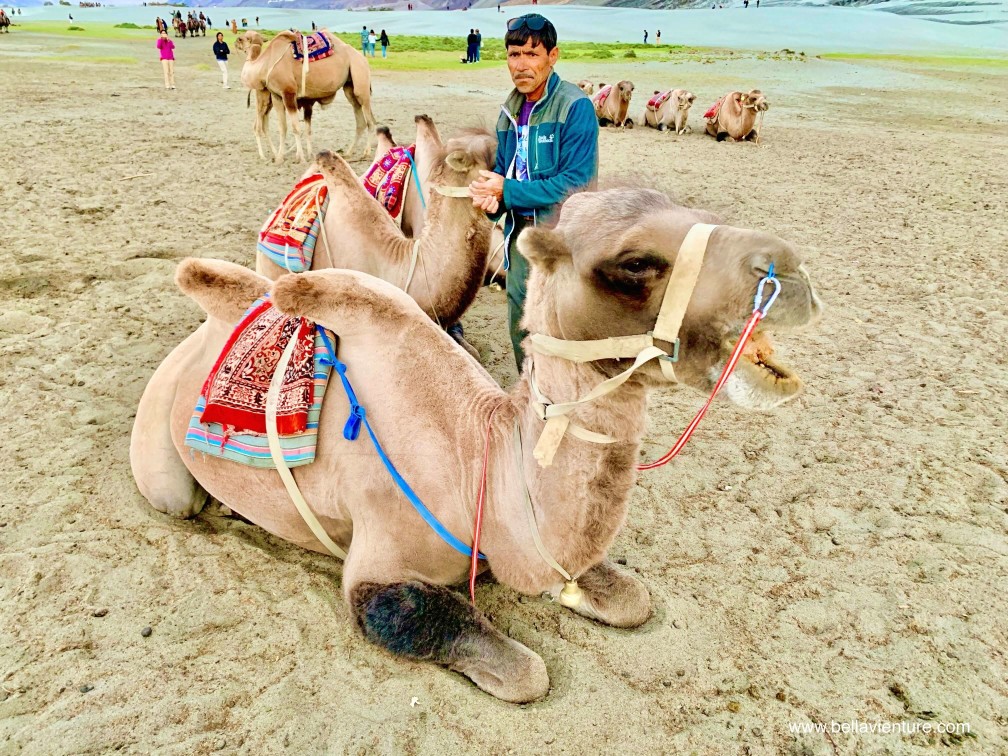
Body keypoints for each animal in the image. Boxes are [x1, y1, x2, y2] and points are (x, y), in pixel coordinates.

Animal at [130, 186, 822, 702]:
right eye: (633, 263)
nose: (791, 272)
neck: (476, 462)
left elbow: (633, 599)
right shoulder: (376, 568)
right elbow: (524, 673)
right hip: (159, 452)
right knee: (176, 498)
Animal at [234, 30, 376, 163]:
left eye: (241, 39)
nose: (235, 42)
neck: (266, 64)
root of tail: (363, 59)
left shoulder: (288, 93)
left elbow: (296, 128)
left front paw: (301, 158)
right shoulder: (277, 96)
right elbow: (283, 128)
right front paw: (280, 158)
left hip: (360, 79)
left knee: (370, 120)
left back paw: (366, 153)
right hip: (349, 86)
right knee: (359, 118)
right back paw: (348, 153)